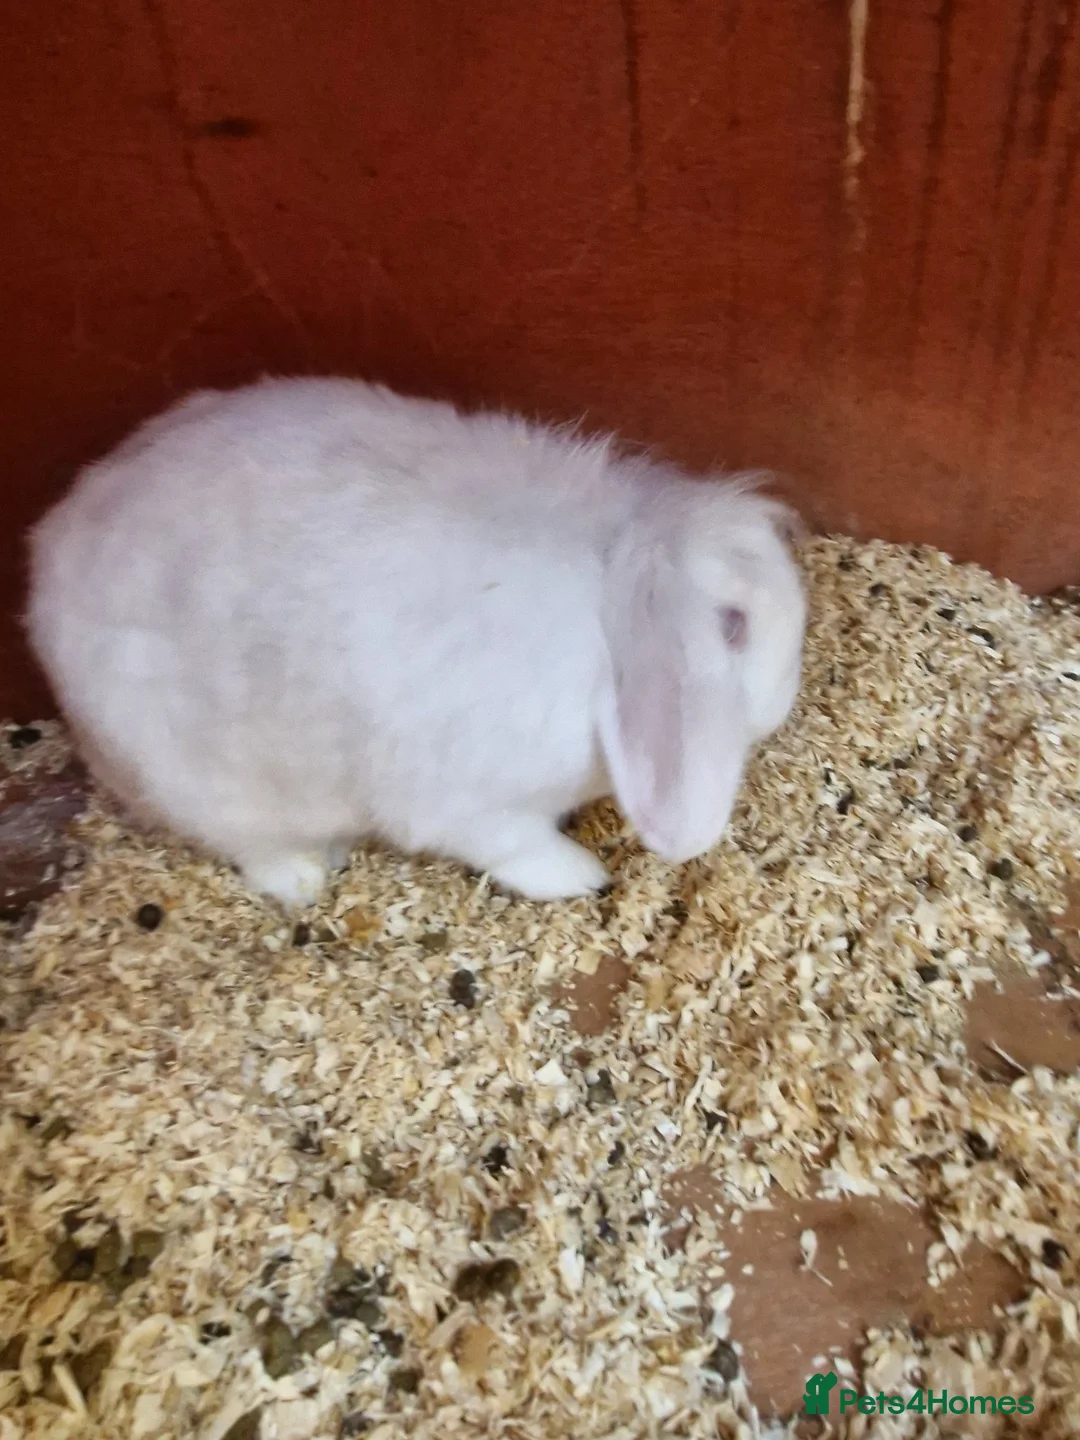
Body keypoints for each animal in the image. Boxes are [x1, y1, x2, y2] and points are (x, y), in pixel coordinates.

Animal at [25, 378, 806, 909]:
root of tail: (49, 557)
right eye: (733, 626)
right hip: (206, 786)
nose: (792, 685)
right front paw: (582, 876)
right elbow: (518, 845)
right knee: (250, 844)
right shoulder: (473, 806)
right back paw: (305, 876)